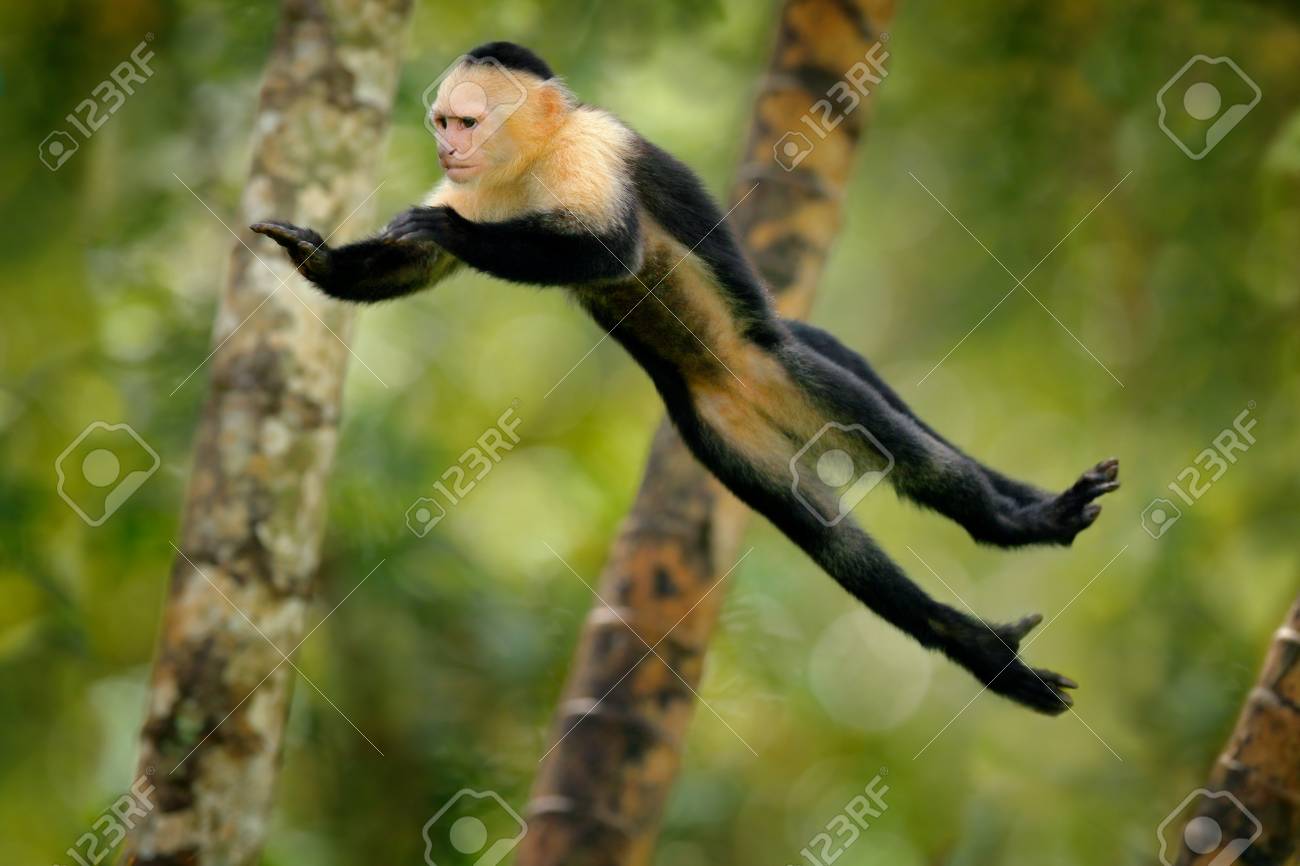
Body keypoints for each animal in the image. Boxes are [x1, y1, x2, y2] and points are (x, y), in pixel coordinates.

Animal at [252, 41, 1120, 715]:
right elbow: (410, 267)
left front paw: (443, 227)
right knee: (831, 540)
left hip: (789, 377)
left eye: (463, 121)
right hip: (724, 436)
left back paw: (1015, 521)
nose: (445, 147)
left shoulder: (591, 152)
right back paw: (973, 640)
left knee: (904, 448)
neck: (527, 162)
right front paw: (313, 256)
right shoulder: (479, 182)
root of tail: (746, 386)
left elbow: (612, 252)